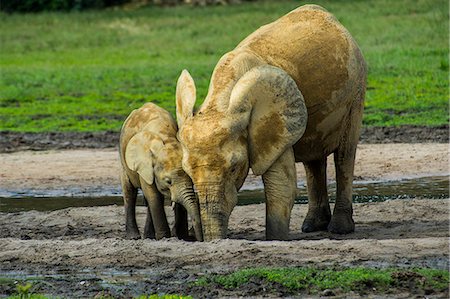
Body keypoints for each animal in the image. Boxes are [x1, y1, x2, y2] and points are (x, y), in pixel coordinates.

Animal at [120, 102, 203, 241]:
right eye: (168, 181)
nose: (200, 239)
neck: (167, 140)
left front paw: (181, 237)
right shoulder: (145, 165)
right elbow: (154, 196)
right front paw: (165, 237)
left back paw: (149, 236)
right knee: (129, 191)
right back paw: (134, 237)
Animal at [175, 4, 366, 243]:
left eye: (234, 168)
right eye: (187, 172)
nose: (209, 240)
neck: (220, 100)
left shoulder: (273, 123)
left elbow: (282, 187)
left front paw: (276, 240)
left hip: (356, 92)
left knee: (344, 155)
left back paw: (339, 229)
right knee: (313, 159)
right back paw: (312, 226)